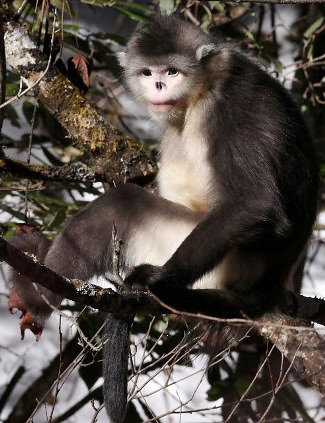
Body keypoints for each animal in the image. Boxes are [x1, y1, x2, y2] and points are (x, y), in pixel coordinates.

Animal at [5, 14, 318, 423]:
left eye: (172, 71)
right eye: (148, 72)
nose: (157, 84)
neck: (204, 87)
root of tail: (271, 283)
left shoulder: (228, 107)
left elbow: (255, 204)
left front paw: (156, 280)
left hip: (214, 260)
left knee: (122, 203)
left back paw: (36, 297)